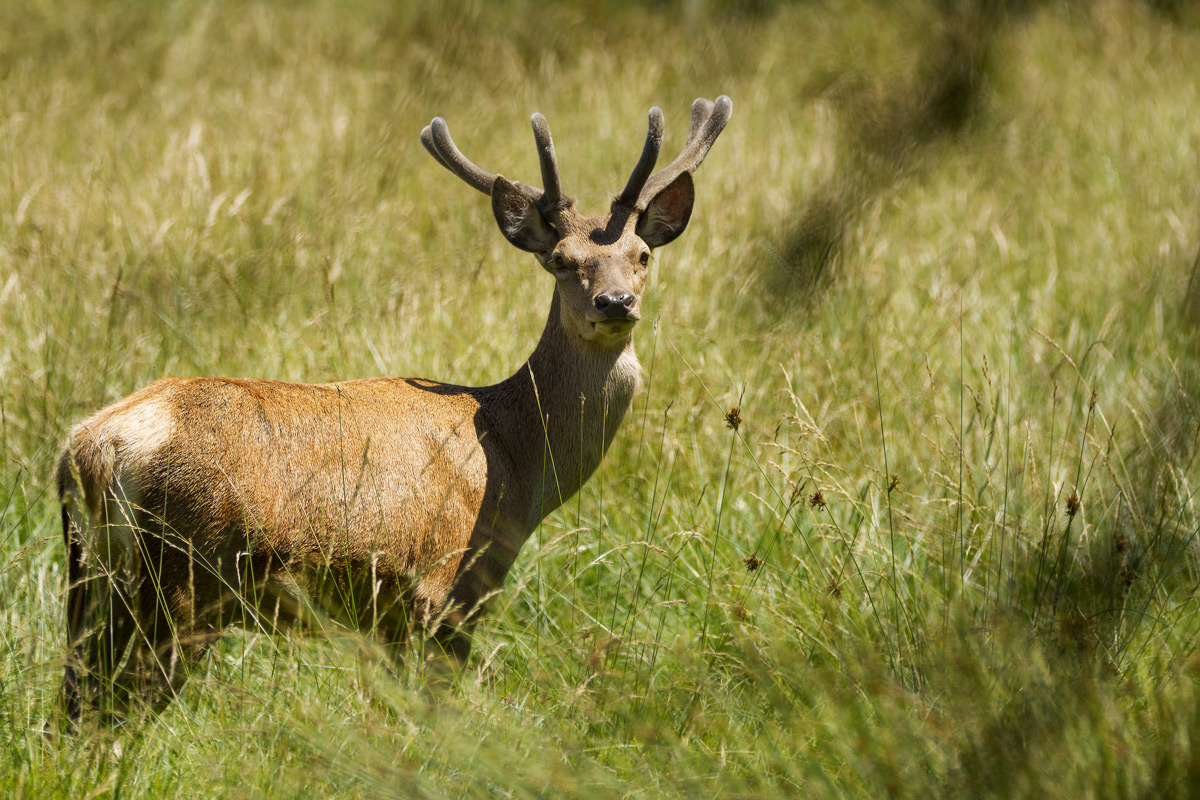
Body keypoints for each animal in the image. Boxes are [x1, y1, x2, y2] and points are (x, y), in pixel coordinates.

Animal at [57, 96, 731, 725]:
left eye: (642, 254)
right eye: (562, 260)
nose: (614, 302)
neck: (518, 459)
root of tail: (94, 447)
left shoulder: (383, 617)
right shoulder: (444, 585)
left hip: (89, 576)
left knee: (74, 695)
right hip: (186, 574)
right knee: (123, 699)